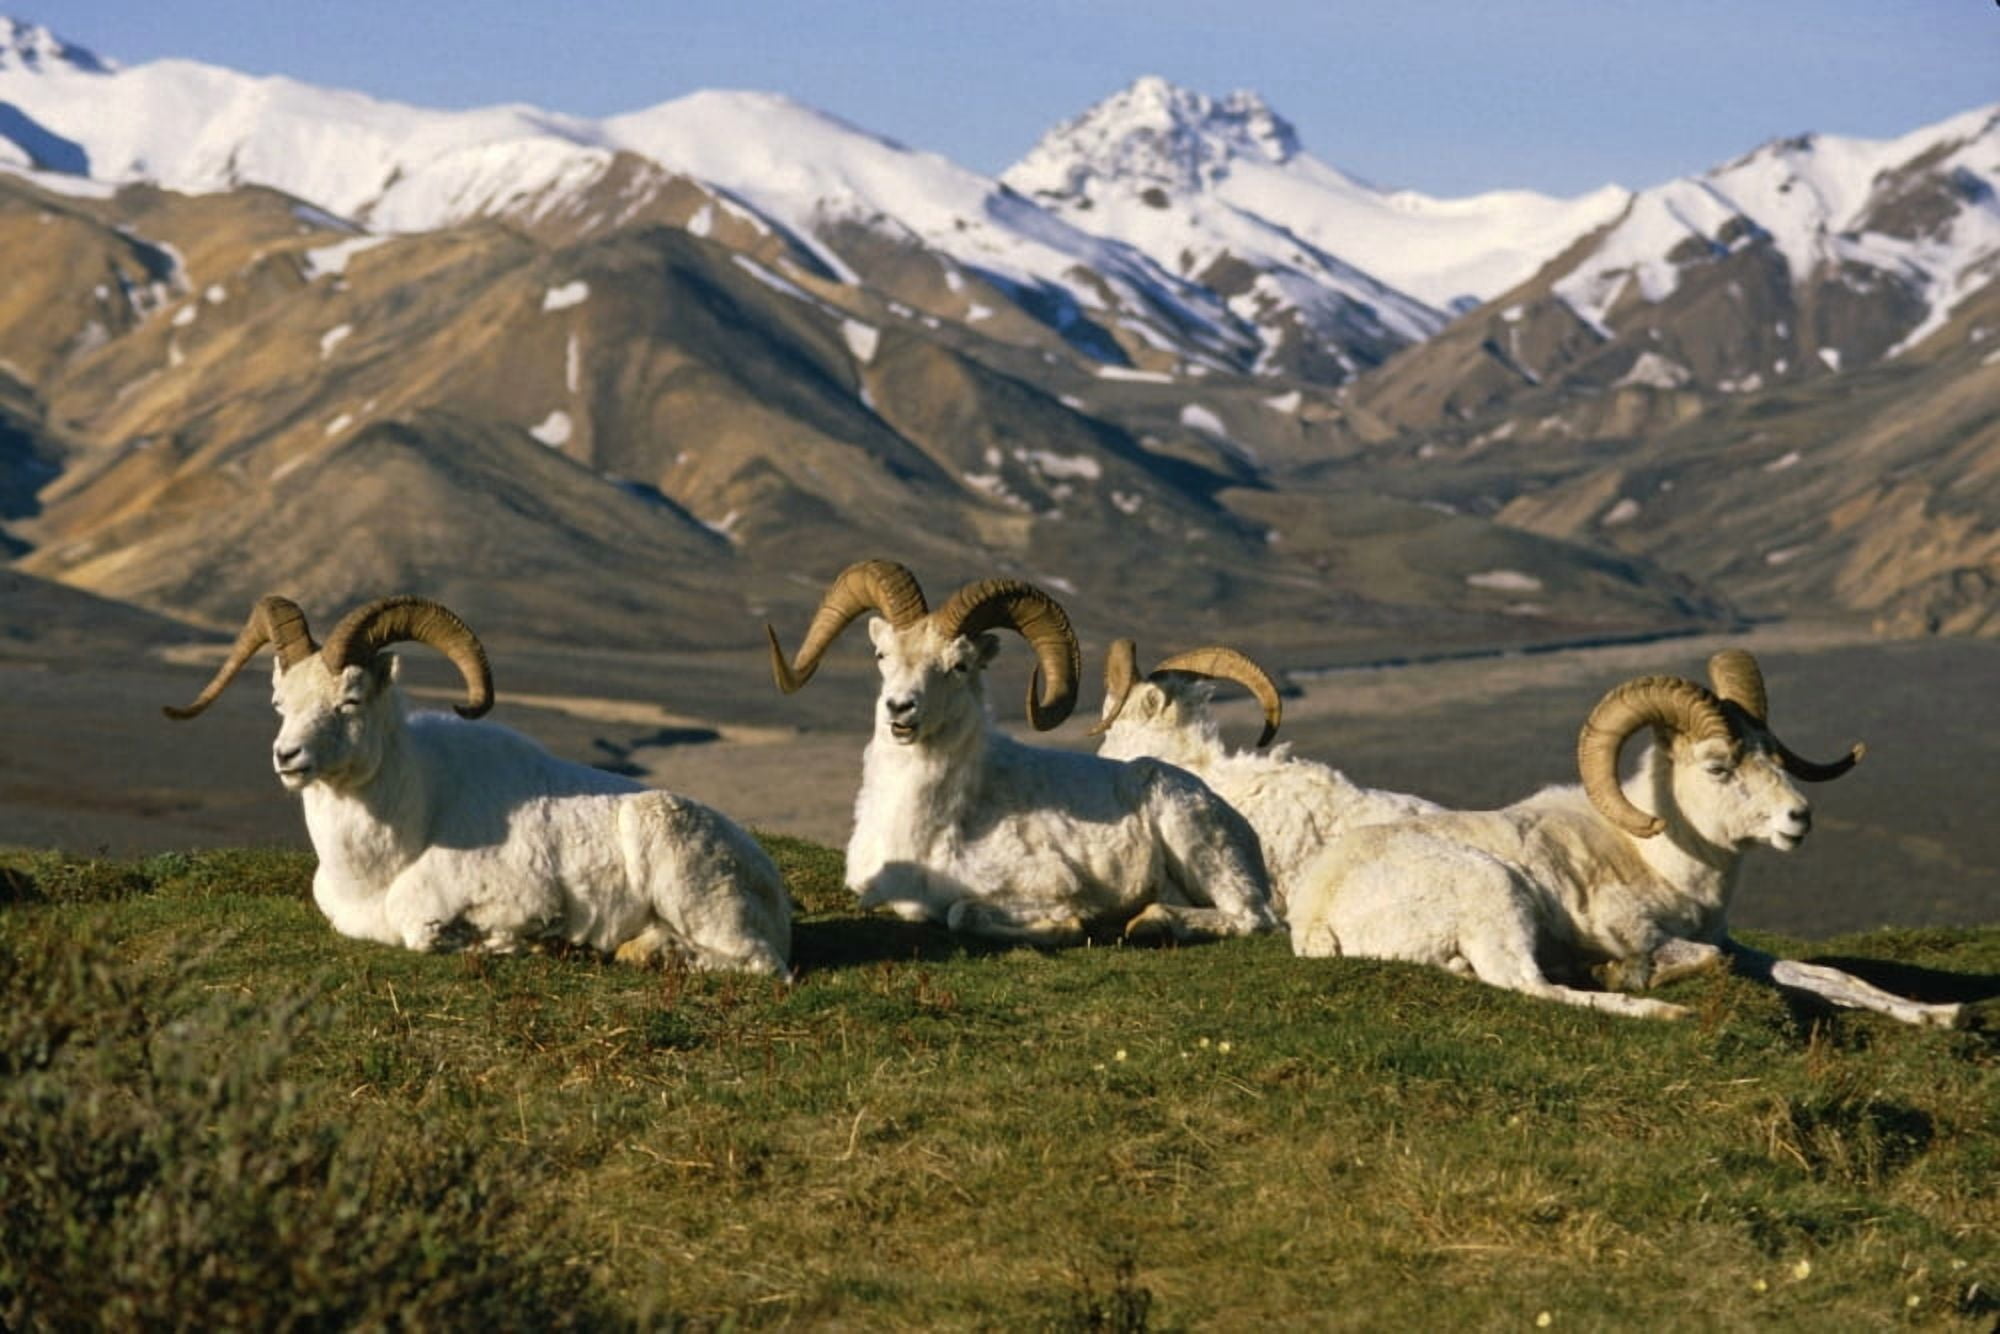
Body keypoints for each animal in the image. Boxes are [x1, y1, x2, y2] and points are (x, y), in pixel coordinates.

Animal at [165, 594, 790, 975]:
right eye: (279, 703)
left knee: (761, 964)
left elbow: (427, 932)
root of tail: (769, 882)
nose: (287, 757)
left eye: (351, 699)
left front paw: (538, 942)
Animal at [764, 559, 1278, 946]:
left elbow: (961, 913)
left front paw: (1072, 923)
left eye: (959, 665)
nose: (900, 708)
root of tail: (1236, 820)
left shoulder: (1042, 885)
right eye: (882, 656)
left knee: (1251, 916)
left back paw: (1150, 921)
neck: (932, 821)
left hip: (1193, 842)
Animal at [1287, 649, 1970, 1026]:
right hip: (1498, 895)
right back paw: (1661, 1008)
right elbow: (1707, 962)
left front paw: (1943, 1016)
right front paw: (1622, 972)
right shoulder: (1647, 935)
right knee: (1532, 987)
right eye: (1718, 766)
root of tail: (1318, 913)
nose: (1797, 818)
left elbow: (1828, 978)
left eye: (1772, 755)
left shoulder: (1731, 942)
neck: (1660, 861)